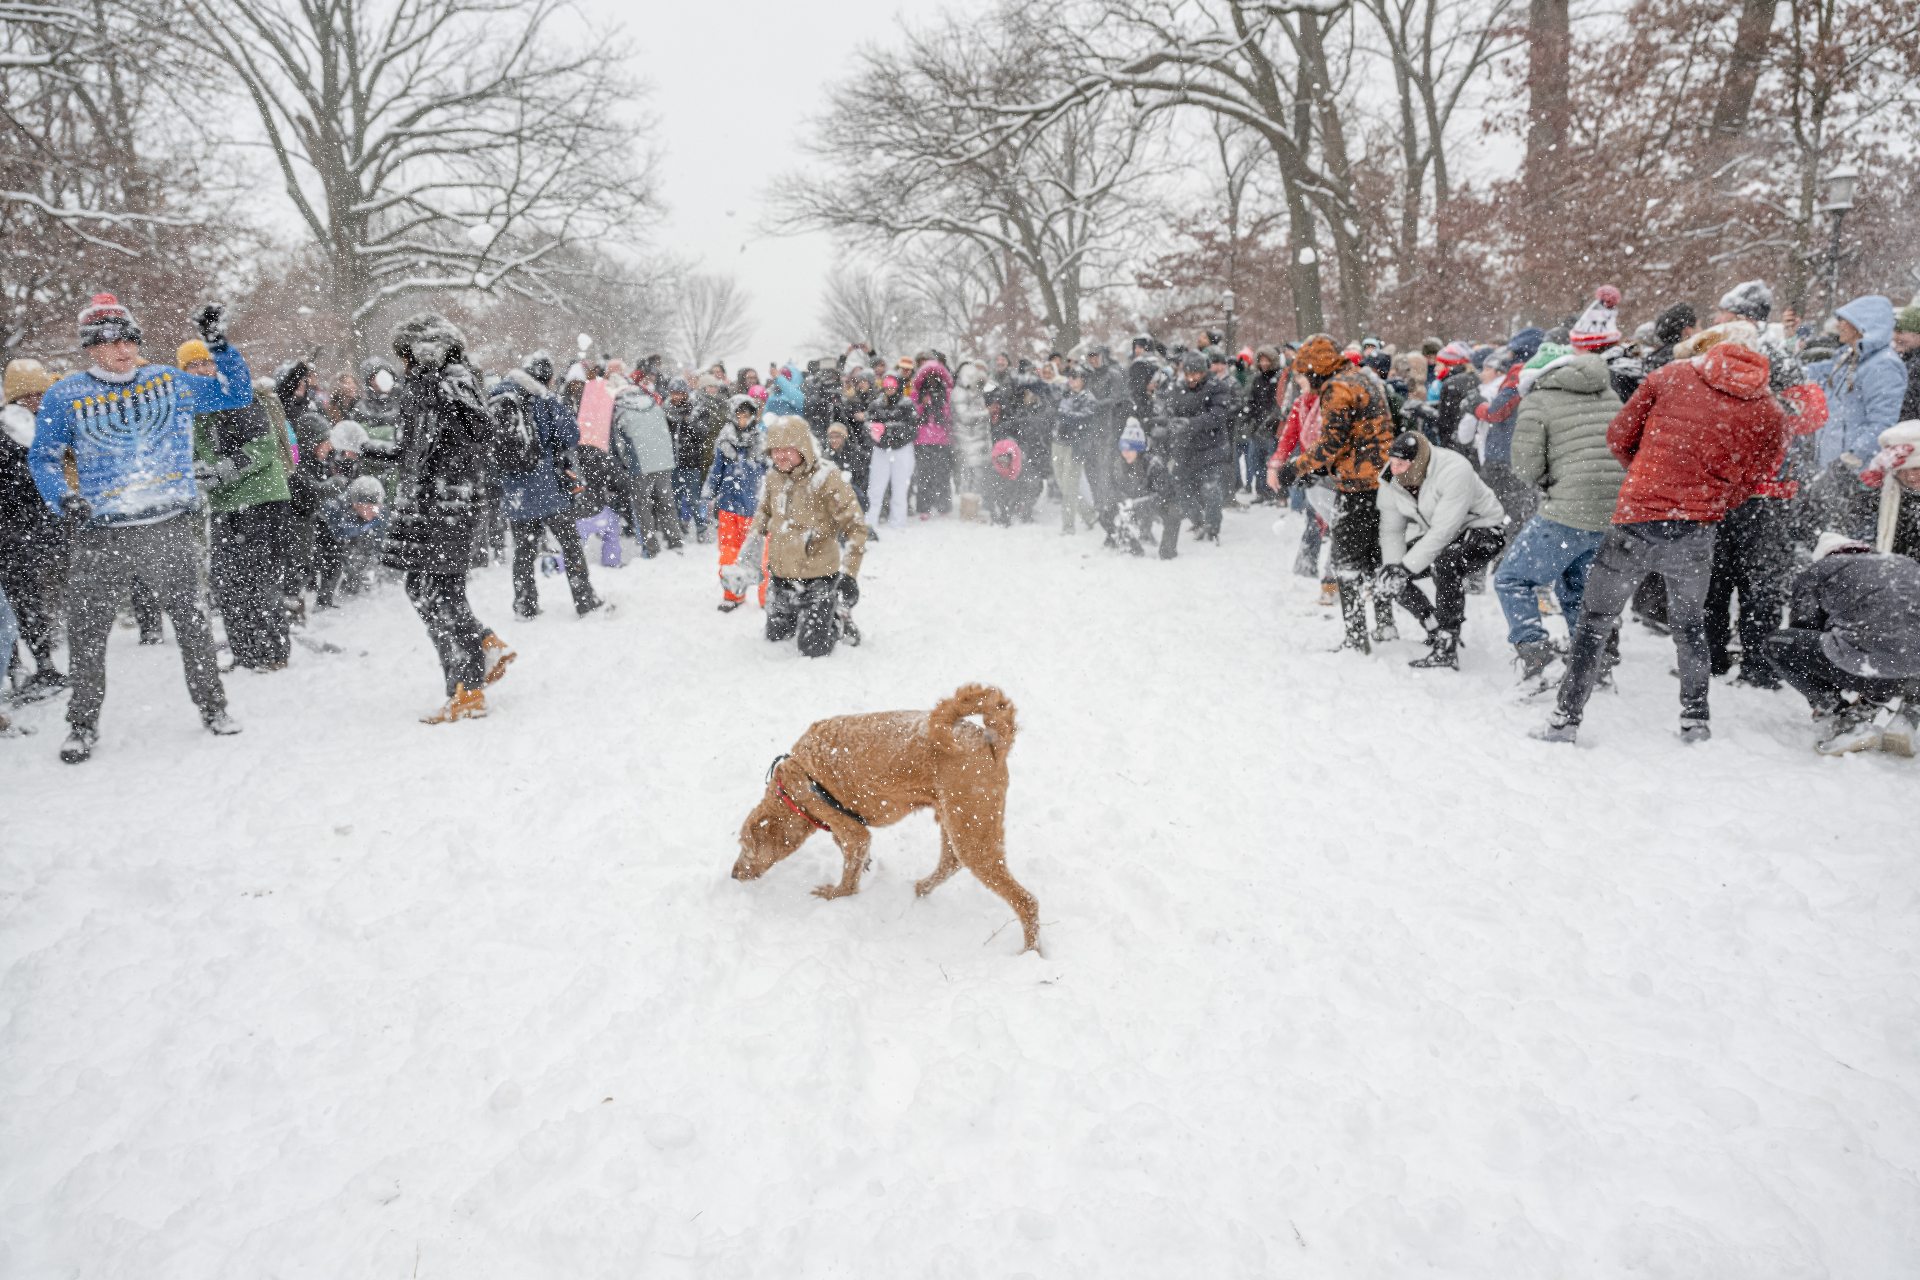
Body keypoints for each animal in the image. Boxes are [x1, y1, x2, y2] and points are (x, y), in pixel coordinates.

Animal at [733, 690, 1044, 951]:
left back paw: (1030, 952)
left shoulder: (852, 830)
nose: (734, 874)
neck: (791, 789)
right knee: (950, 862)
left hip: (972, 824)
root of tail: (991, 739)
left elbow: (849, 877)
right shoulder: (848, 827)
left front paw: (835, 894)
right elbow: (848, 852)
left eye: (744, 845)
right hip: (955, 818)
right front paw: (863, 866)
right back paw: (920, 889)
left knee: (1025, 901)